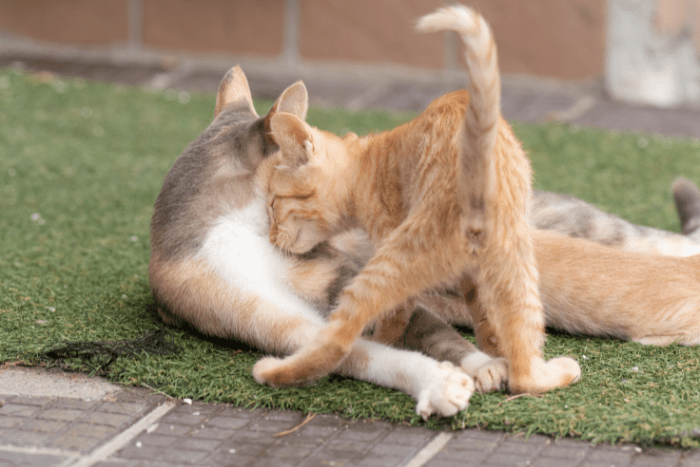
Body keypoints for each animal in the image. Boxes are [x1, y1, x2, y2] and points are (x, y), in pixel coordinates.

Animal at [148, 64, 512, 420]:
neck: (239, 231)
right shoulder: (269, 319)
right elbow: (363, 354)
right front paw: (439, 382)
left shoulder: (345, 278)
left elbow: (435, 331)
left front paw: (483, 364)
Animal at [254, 4, 581, 395]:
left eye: (273, 204)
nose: (271, 237)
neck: (366, 162)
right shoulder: (472, 278)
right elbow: (486, 317)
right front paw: (492, 353)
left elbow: (394, 319)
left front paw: (386, 343)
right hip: (517, 264)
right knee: (524, 364)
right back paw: (546, 373)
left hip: (396, 256)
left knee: (337, 339)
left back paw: (275, 371)